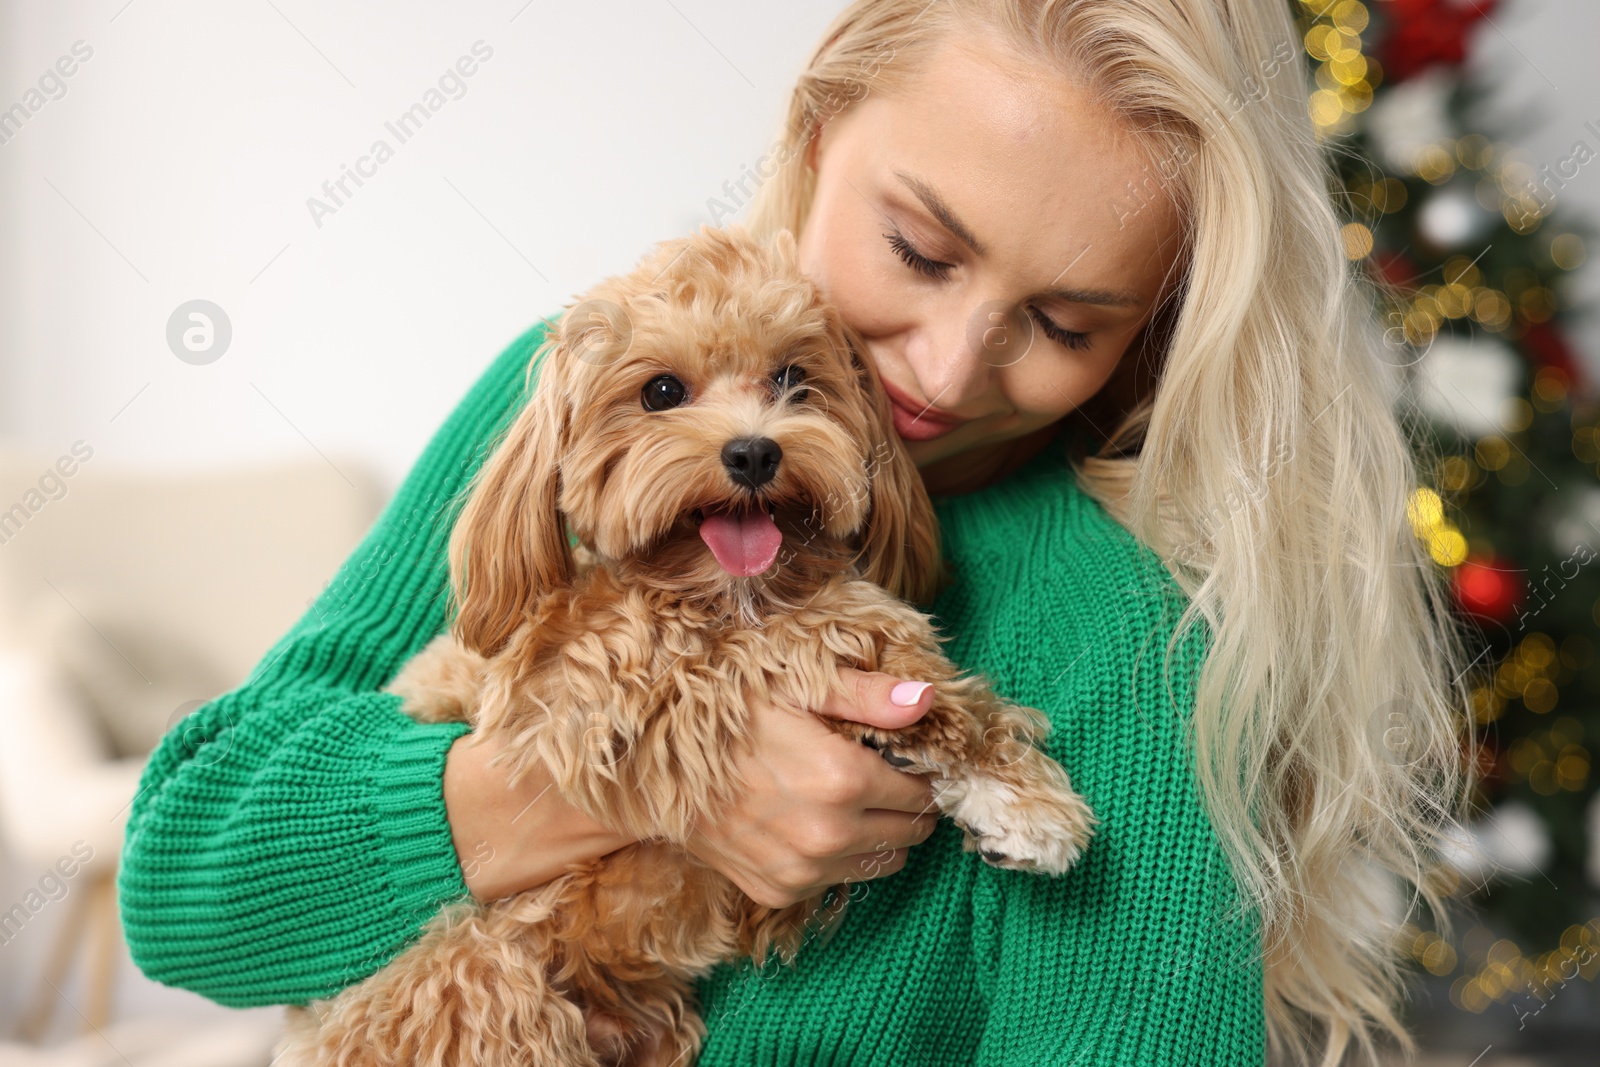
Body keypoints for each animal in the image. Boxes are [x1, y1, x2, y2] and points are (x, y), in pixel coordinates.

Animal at [275, 225, 1100, 1067]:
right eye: (662, 392)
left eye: (793, 379)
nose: (754, 453)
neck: (715, 591)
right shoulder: (598, 686)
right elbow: (820, 631)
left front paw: (1012, 788)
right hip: (478, 979)